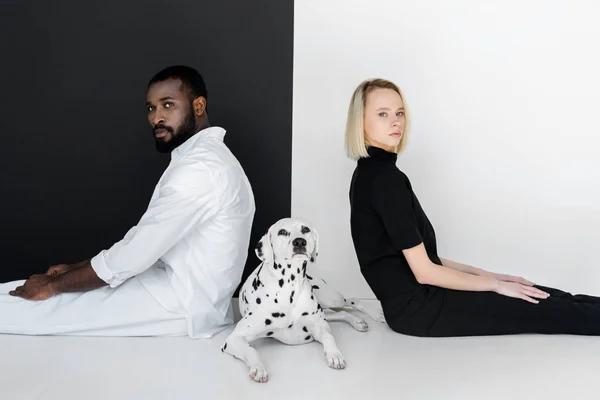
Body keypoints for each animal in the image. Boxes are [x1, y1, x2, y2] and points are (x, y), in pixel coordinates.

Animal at [221, 217, 384, 382]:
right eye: (282, 232)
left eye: (305, 229)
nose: (299, 242)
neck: (289, 288)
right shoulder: (234, 339)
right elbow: (251, 350)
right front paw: (258, 368)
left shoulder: (319, 326)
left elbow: (329, 336)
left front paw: (334, 354)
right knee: (341, 312)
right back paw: (358, 321)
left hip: (330, 299)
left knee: (352, 301)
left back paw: (372, 315)